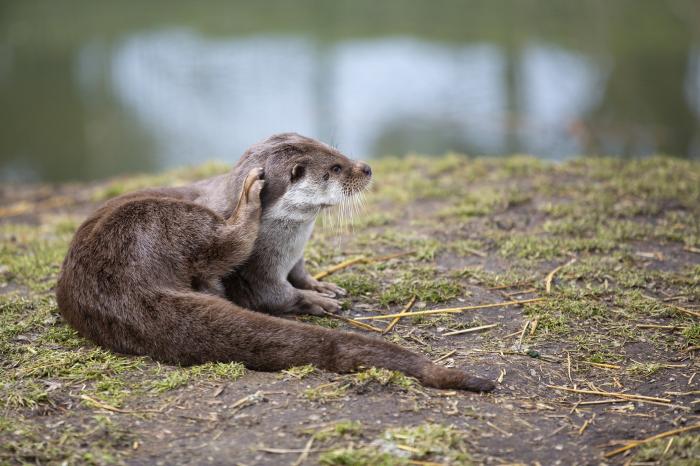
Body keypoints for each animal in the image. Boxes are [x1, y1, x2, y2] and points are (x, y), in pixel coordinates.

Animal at [57, 133, 498, 392]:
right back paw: (247, 201)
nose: (366, 167)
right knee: (224, 243)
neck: (285, 241)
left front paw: (321, 285)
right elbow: (275, 296)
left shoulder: (295, 257)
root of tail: (120, 289)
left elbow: (302, 274)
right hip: (164, 224)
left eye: (336, 150)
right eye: (336, 168)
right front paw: (316, 302)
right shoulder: (258, 273)